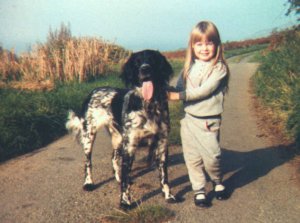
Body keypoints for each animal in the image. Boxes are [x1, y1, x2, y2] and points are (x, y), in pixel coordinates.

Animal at [66, 48, 176, 209]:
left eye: (152, 60)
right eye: (137, 63)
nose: (145, 69)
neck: (148, 106)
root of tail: (93, 91)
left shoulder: (162, 144)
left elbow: (164, 176)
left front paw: (168, 195)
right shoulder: (130, 146)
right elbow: (125, 180)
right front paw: (125, 202)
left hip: (118, 138)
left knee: (114, 158)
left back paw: (117, 177)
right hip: (89, 135)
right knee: (88, 162)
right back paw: (88, 183)